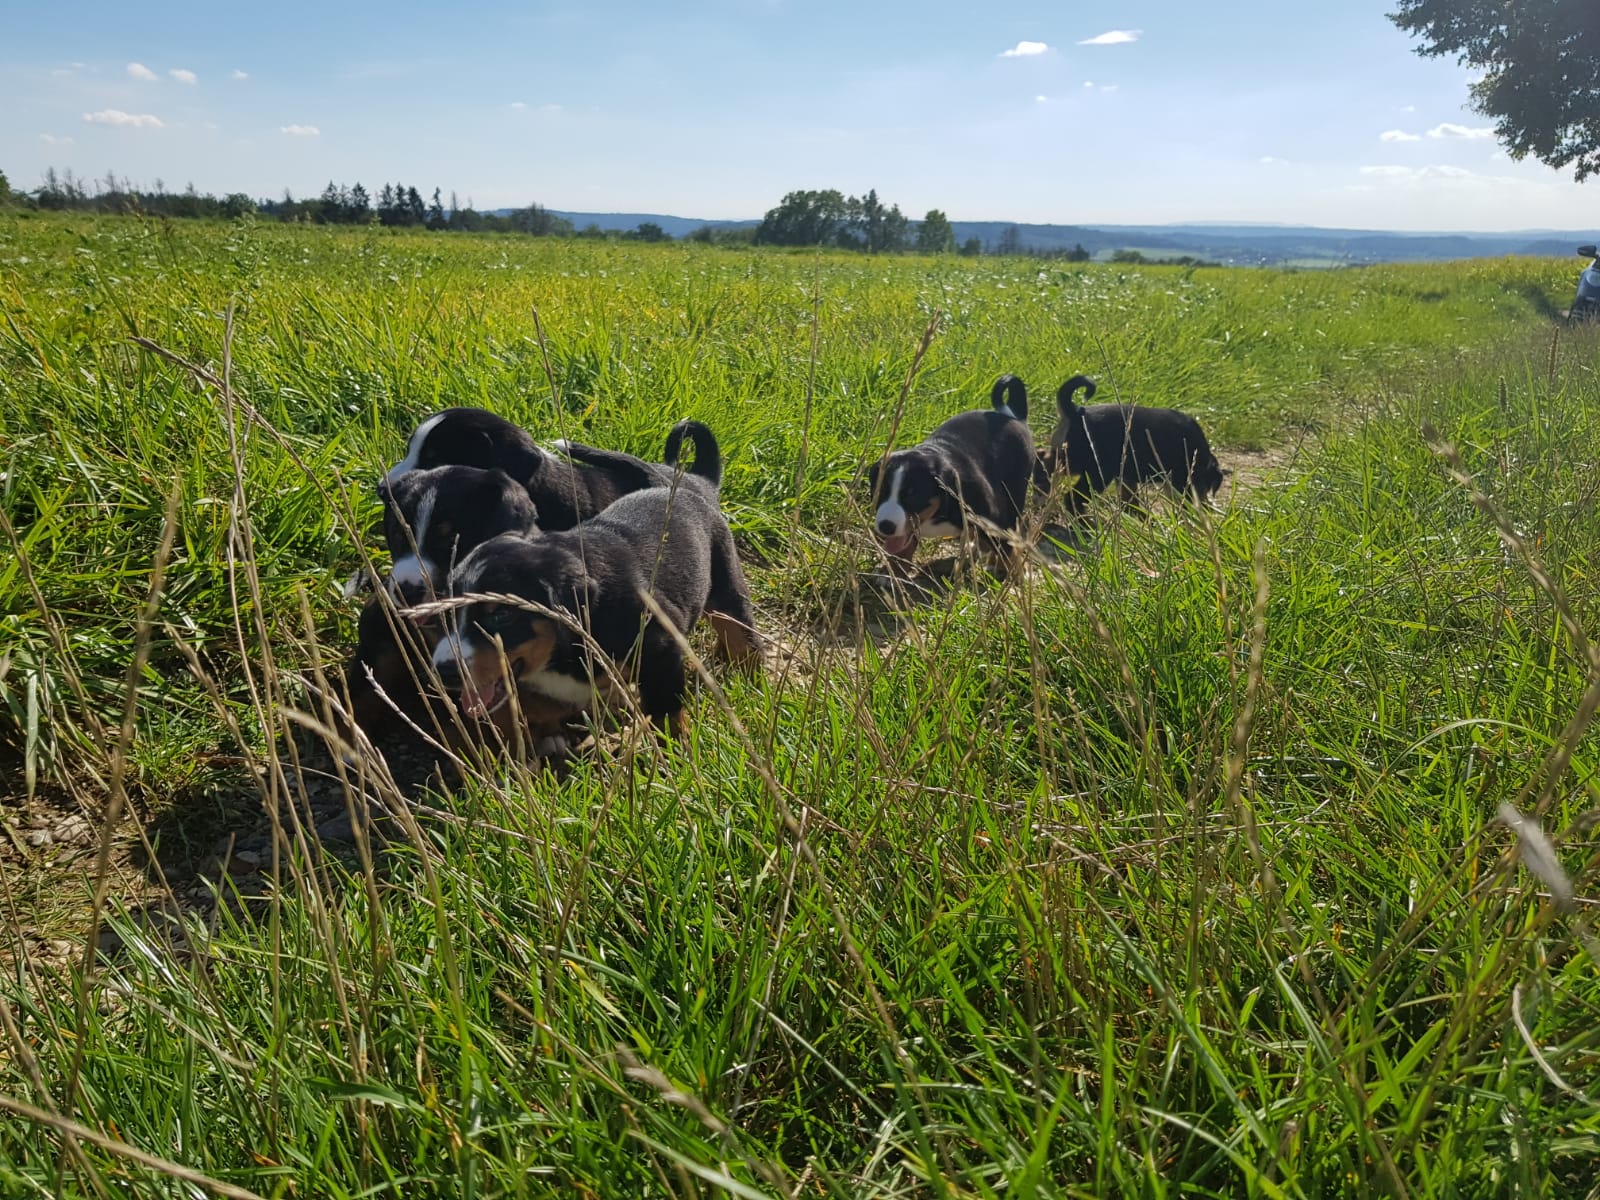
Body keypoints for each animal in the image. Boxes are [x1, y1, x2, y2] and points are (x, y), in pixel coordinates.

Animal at [432, 483, 761, 739]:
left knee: (742, 638)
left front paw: (673, 753)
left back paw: (752, 685)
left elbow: (665, 710)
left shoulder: (658, 645)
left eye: (501, 615)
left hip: (727, 588)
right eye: (449, 614)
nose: (444, 670)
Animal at [870, 374, 1043, 566]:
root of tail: (1012, 416)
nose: (886, 525)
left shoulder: (991, 521)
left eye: (912, 496)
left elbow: (1006, 553)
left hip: (1015, 493)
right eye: (879, 492)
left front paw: (1010, 572)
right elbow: (902, 554)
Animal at [1049, 374, 1222, 508]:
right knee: (1073, 499)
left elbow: (1131, 501)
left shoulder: (1126, 478)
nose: (1206, 506)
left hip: (1065, 460)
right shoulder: (1183, 480)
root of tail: (1074, 412)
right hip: (1098, 472)